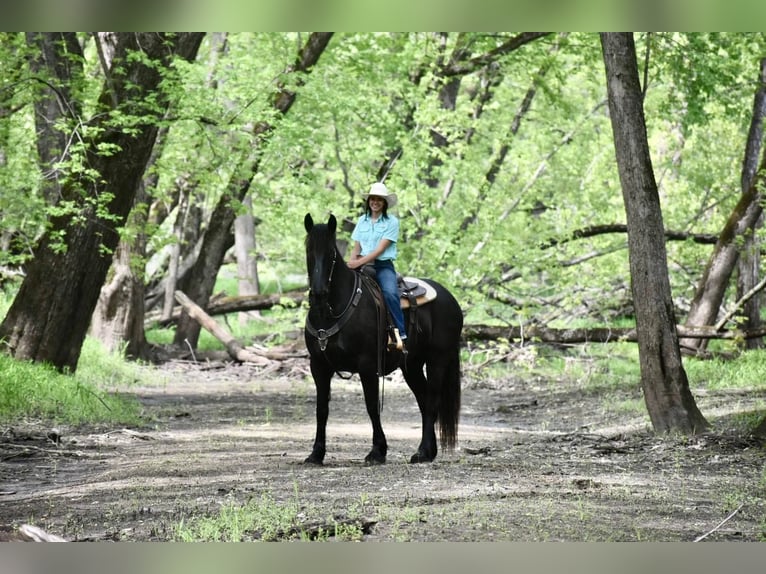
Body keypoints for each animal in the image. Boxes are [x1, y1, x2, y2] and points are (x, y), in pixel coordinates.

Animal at [304, 214, 462, 466]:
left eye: (331, 253)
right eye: (309, 250)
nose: (318, 294)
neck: (330, 312)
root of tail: (450, 298)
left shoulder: (367, 365)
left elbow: (371, 406)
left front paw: (378, 451)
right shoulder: (318, 366)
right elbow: (321, 410)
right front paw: (316, 453)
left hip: (438, 359)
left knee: (432, 401)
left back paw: (422, 452)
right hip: (412, 365)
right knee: (424, 400)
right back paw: (426, 452)